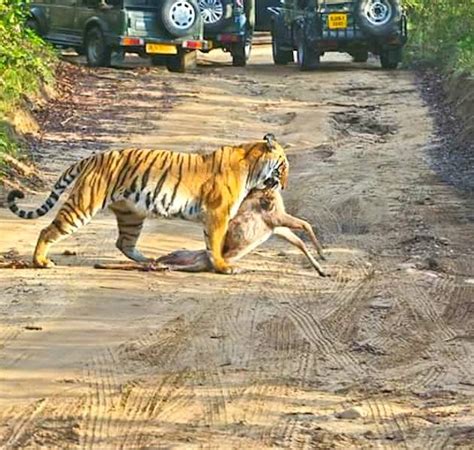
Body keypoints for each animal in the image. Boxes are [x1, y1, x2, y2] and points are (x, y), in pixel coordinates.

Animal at [7, 134, 288, 274]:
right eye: (283, 166)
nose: (283, 185)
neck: (252, 165)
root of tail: (92, 158)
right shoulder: (217, 214)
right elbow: (215, 244)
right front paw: (222, 267)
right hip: (83, 206)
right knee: (47, 230)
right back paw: (40, 262)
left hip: (131, 214)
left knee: (124, 243)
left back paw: (149, 261)